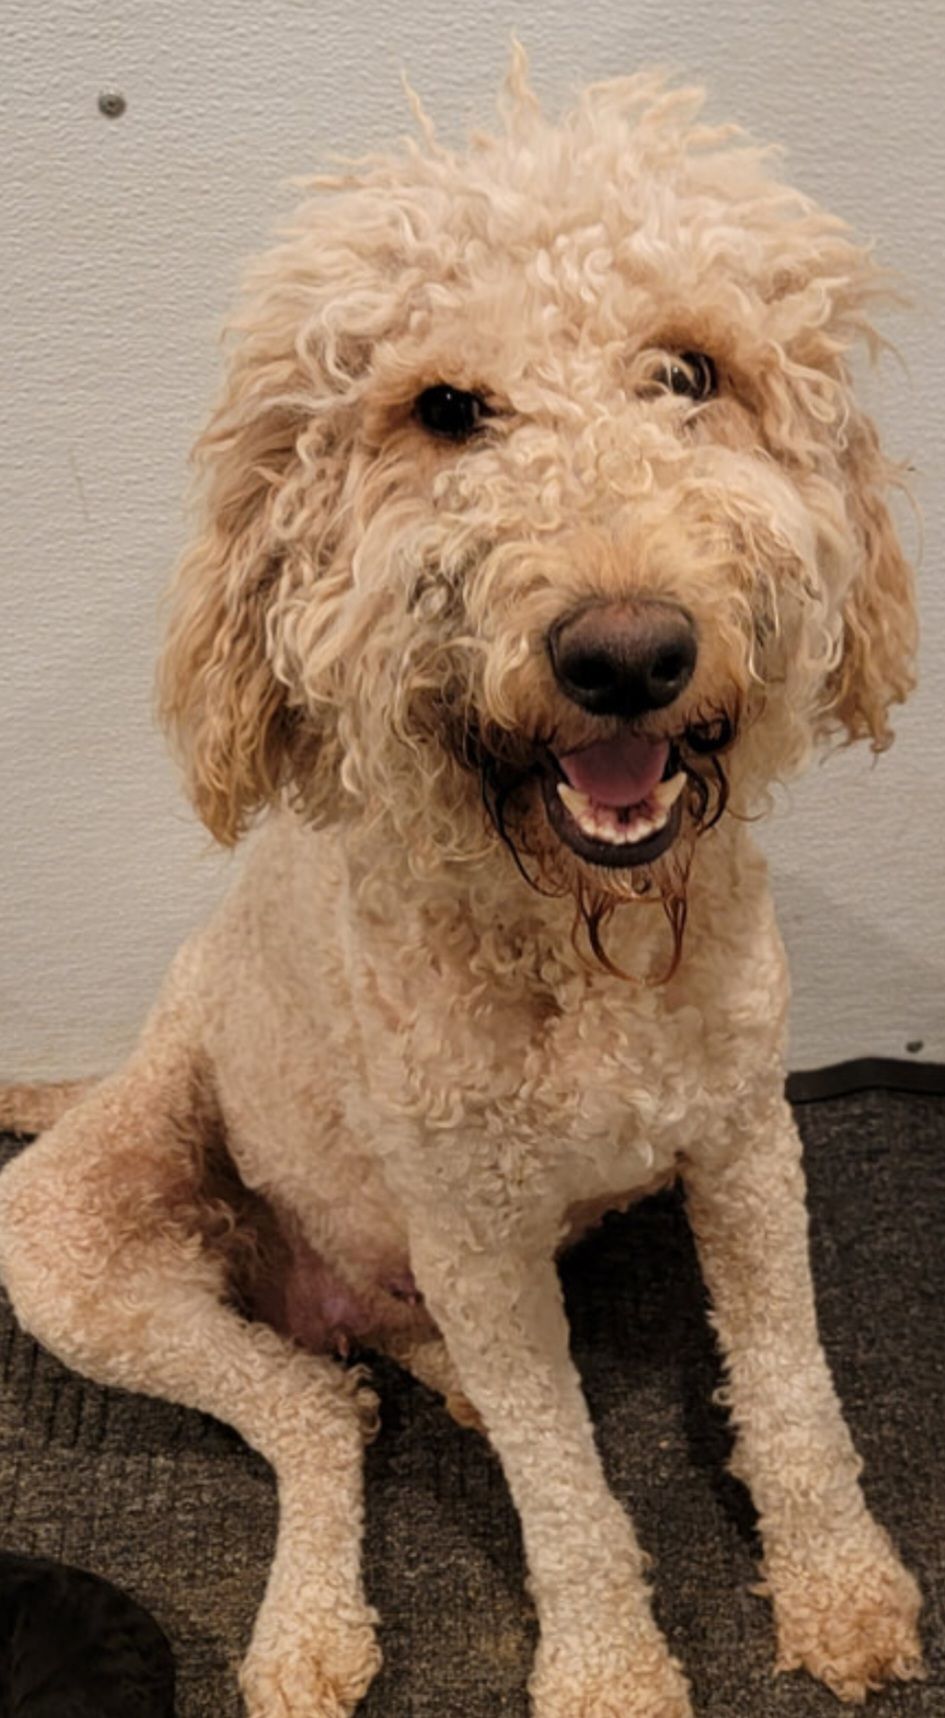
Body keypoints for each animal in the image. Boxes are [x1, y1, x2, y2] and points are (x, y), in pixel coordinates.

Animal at [0, 52, 924, 1718]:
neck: (580, 928)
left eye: (689, 373)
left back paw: (435, 1392)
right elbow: (566, 1487)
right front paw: (610, 1668)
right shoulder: (479, 1227)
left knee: (374, 1370)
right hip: (74, 1240)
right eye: (446, 410)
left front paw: (839, 1587)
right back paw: (305, 1630)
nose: (627, 652)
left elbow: (793, 1391)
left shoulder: (745, 1143)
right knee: (315, 1410)